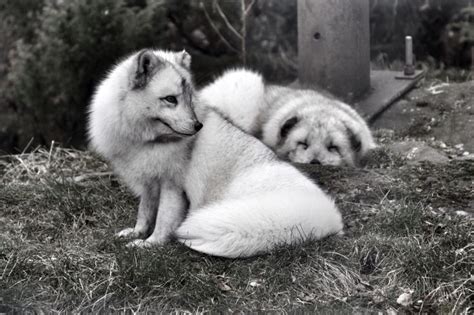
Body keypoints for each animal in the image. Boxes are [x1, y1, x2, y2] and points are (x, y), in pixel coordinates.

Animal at [87, 48, 342, 258]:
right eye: (170, 99)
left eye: (190, 99)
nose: (197, 126)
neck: (147, 141)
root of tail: (328, 216)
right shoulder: (150, 182)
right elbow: (145, 212)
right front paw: (136, 232)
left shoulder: (172, 185)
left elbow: (163, 220)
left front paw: (151, 244)